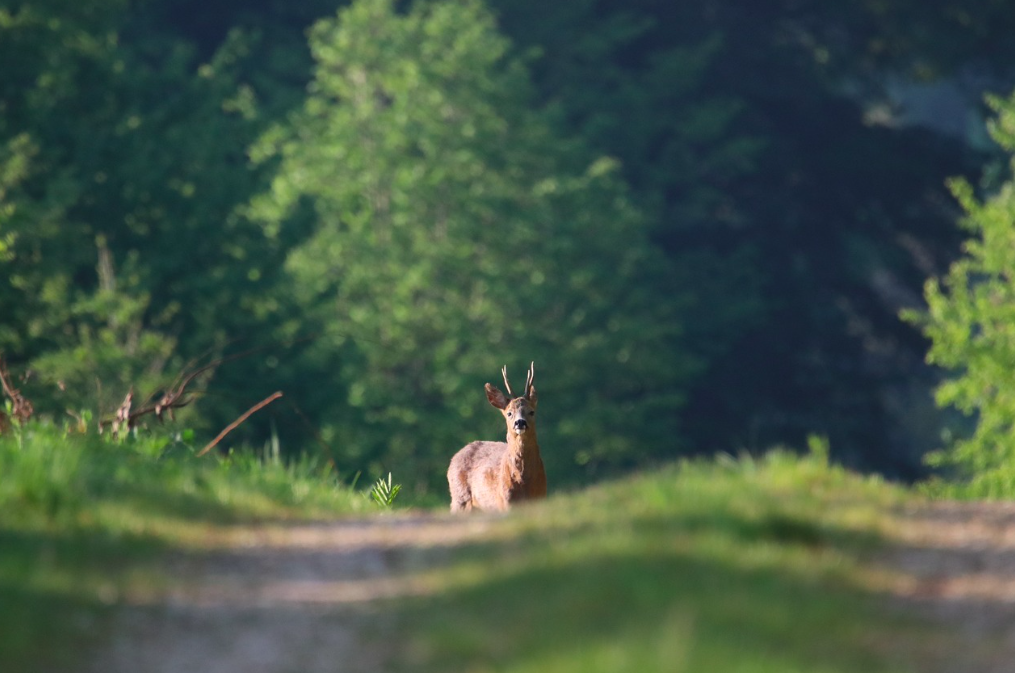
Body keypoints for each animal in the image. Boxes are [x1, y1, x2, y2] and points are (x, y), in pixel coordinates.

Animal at [448, 365, 548, 513]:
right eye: (509, 413)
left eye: (532, 411)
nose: (520, 422)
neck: (523, 481)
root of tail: (454, 458)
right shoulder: (505, 502)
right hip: (460, 498)